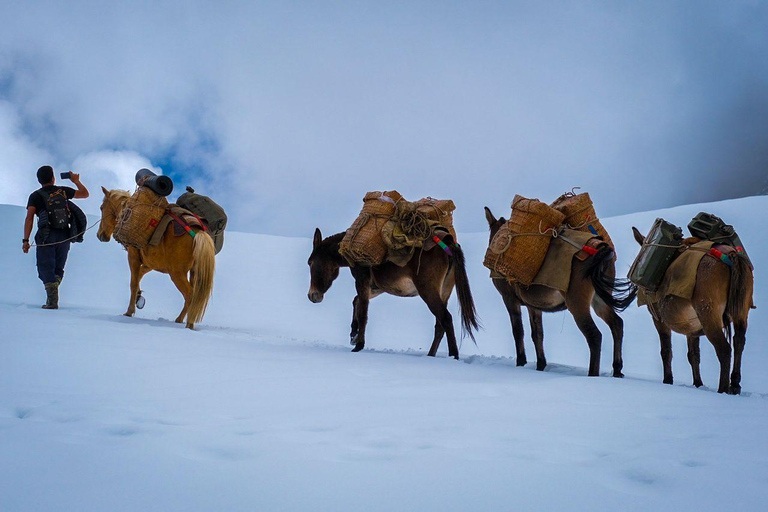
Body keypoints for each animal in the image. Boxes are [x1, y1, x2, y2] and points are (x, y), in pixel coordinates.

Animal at [97, 187, 216, 328]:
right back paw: (181, 320)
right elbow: (139, 276)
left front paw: (129, 311)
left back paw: (187, 323)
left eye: (101, 208)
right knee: (193, 296)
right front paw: (139, 297)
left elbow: (133, 282)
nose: (100, 235)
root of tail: (198, 233)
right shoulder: (151, 263)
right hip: (194, 273)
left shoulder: (133, 257)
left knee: (190, 295)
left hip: (177, 274)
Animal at [308, 230, 476, 358]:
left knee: (445, 318)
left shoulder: (362, 281)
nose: (312, 296)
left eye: (310, 263)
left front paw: (358, 346)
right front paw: (353, 334)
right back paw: (430, 356)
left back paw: (453, 357)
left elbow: (363, 313)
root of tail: (448, 244)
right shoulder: (377, 287)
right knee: (440, 325)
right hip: (444, 291)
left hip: (427, 290)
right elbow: (356, 301)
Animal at [486, 206, 636, 378]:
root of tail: (600, 251)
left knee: (594, 335)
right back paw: (617, 370)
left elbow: (518, 332)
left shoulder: (509, 299)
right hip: (600, 298)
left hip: (577, 304)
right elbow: (537, 334)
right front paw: (540, 365)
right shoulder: (533, 306)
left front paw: (521, 363)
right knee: (617, 324)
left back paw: (592, 375)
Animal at [632, 226, 752, 394]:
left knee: (724, 349)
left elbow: (666, 350)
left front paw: (668, 380)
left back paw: (722, 389)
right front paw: (698, 383)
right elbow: (693, 355)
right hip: (741, 312)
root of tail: (732, 256)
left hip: (708, 313)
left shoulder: (659, 319)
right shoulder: (691, 326)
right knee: (739, 341)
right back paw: (734, 384)